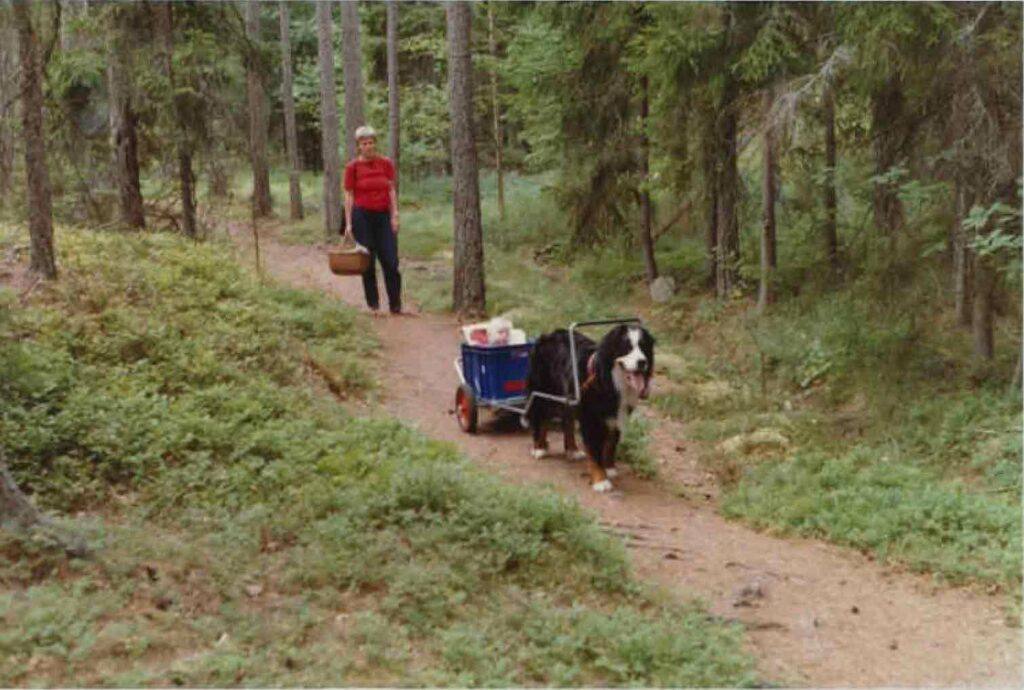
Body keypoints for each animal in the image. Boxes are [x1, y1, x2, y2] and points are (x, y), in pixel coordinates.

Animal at [528, 323, 655, 489]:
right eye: (627, 347)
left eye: (643, 346)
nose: (642, 362)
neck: (612, 381)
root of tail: (548, 335)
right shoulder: (591, 419)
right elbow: (595, 452)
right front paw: (601, 480)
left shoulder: (614, 416)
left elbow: (610, 444)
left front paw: (609, 468)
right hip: (543, 392)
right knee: (540, 418)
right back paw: (539, 448)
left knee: (567, 422)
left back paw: (573, 450)